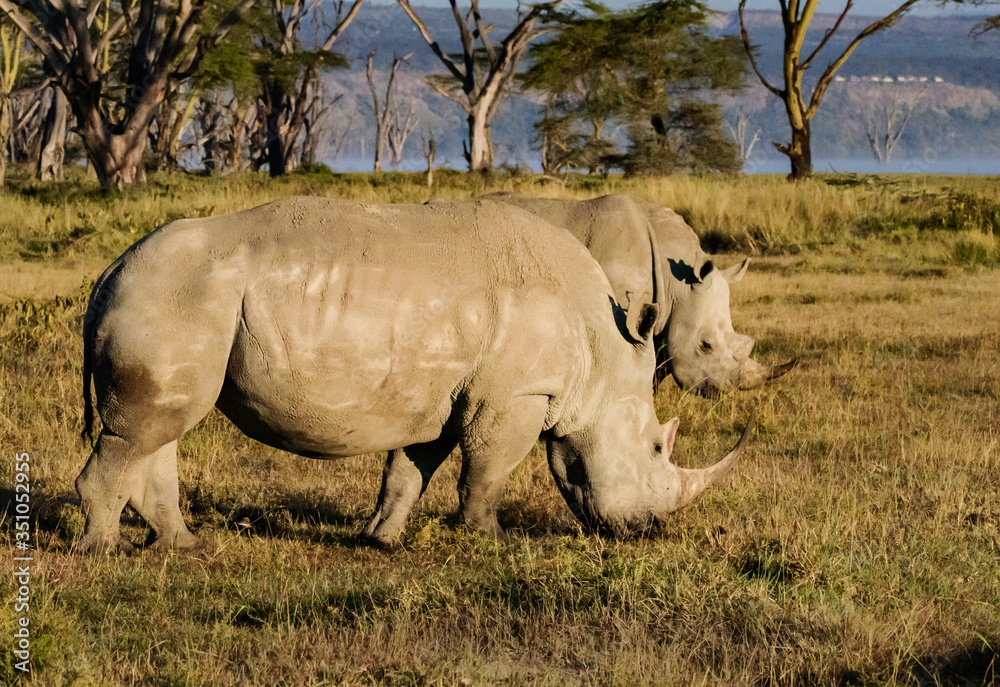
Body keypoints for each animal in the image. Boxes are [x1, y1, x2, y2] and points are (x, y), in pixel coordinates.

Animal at [77, 197, 752, 552]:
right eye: (654, 449)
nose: (647, 529)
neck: (600, 354)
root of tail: (110, 271)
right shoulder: (513, 394)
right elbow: (487, 472)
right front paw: (489, 540)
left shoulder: (442, 393)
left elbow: (408, 470)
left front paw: (380, 540)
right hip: (176, 295)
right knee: (147, 430)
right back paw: (103, 554)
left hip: (177, 299)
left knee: (160, 427)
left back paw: (182, 547)